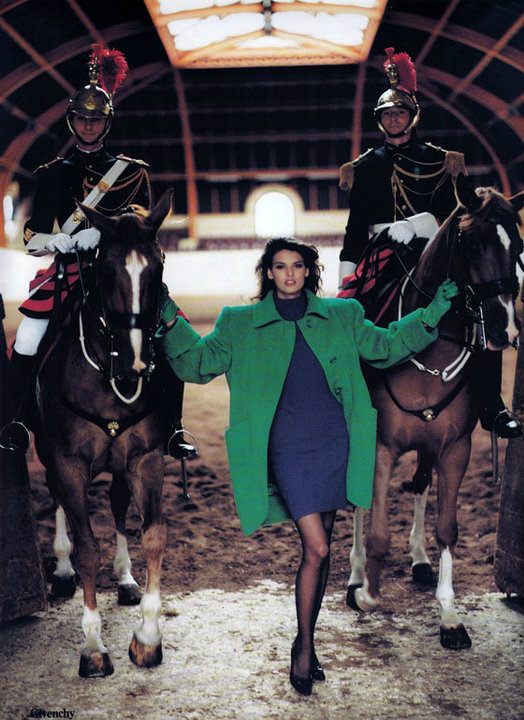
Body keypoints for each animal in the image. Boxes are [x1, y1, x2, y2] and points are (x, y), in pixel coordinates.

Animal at [33, 191, 172, 677]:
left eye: (158, 267)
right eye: (106, 271)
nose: (137, 363)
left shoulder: (145, 457)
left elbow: (153, 534)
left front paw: (147, 637)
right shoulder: (69, 462)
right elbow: (87, 547)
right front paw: (92, 646)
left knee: (116, 504)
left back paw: (126, 578)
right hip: (48, 454)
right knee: (57, 499)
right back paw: (60, 570)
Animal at [345, 175, 523, 649]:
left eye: (518, 243)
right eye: (473, 242)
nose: (505, 328)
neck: (430, 344)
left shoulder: (454, 448)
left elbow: (448, 528)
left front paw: (449, 616)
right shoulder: (381, 447)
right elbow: (378, 530)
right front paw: (366, 593)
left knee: (421, 484)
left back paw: (420, 559)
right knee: (357, 504)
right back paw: (354, 574)